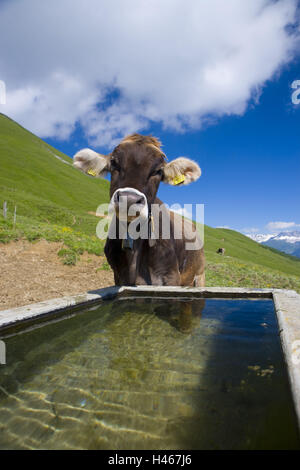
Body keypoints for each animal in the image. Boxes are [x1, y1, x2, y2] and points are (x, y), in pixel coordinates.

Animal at [73, 133, 205, 286]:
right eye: (114, 162)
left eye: (158, 171)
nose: (129, 199)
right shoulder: (118, 277)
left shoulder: (171, 277)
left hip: (199, 274)